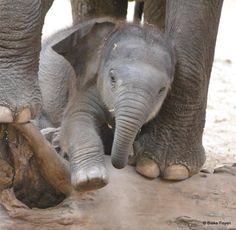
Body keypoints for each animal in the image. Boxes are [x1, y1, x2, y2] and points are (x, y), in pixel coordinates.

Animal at [42, 17, 175, 190]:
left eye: (162, 90)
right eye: (112, 78)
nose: (127, 160)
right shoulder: (85, 81)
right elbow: (78, 117)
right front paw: (92, 180)